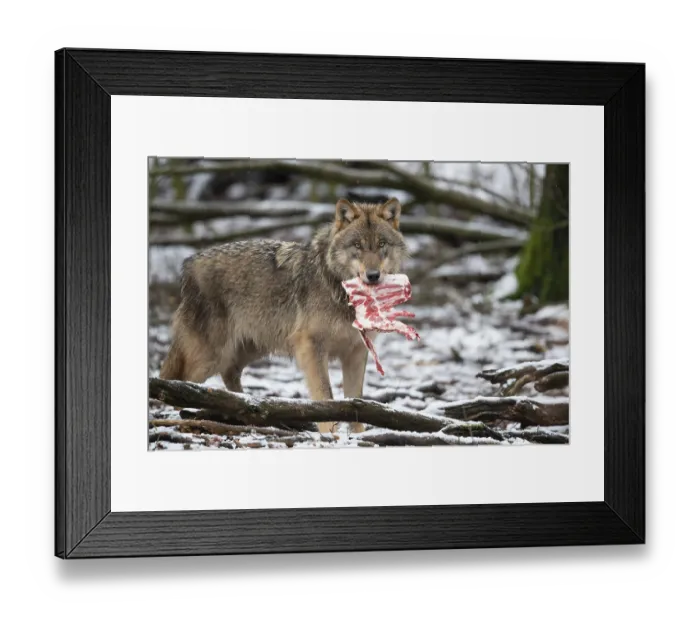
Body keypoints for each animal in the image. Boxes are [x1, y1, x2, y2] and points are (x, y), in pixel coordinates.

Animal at [159, 197, 409, 434]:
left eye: (382, 244)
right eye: (357, 245)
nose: (373, 275)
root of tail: (188, 265)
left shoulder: (356, 351)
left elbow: (357, 401)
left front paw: (357, 436)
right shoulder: (311, 347)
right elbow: (325, 395)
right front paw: (330, 434)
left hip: (250, 348)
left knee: (229, 374)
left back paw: (247, 409)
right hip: (212, 356)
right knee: (180, 384)